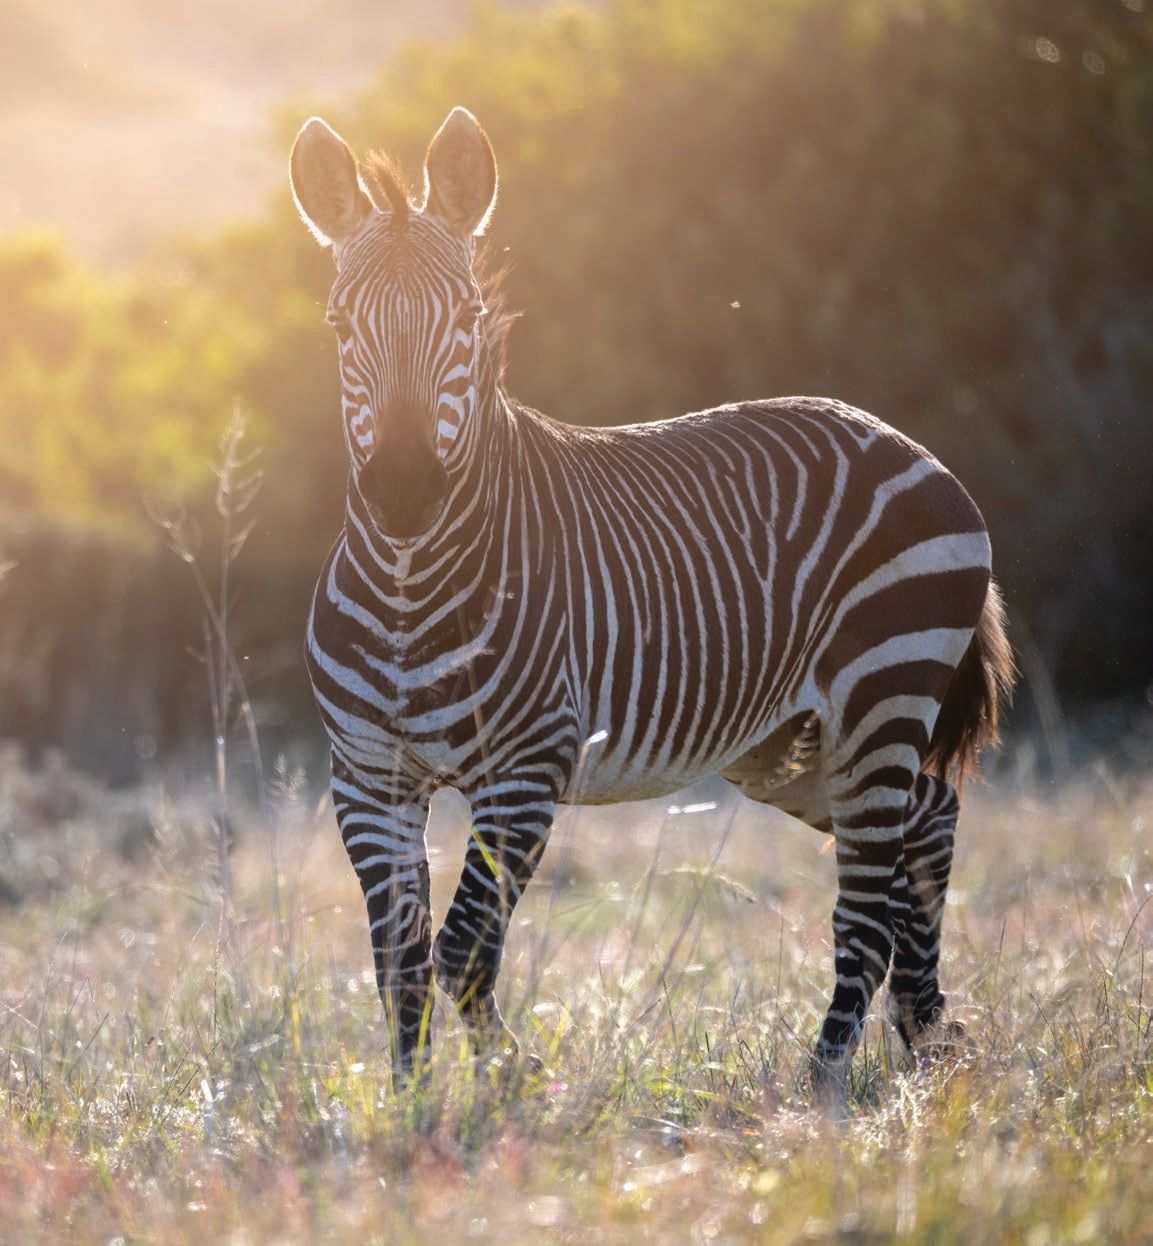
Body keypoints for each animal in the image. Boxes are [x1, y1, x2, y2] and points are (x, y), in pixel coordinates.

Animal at [289, 106, 1014, 1093]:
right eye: (338, 324)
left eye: (468, 318)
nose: (403, 494)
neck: (409, 582)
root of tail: (905, 442)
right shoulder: (368, 778)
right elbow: (398, 962)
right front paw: (409, 1108)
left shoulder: (525, 768)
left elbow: (463, 951)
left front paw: (516, 1084)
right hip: (790, 743)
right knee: (926, 822)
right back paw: (926, 1034)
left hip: (881, 687)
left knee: (864, 903)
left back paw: (822, 1082)